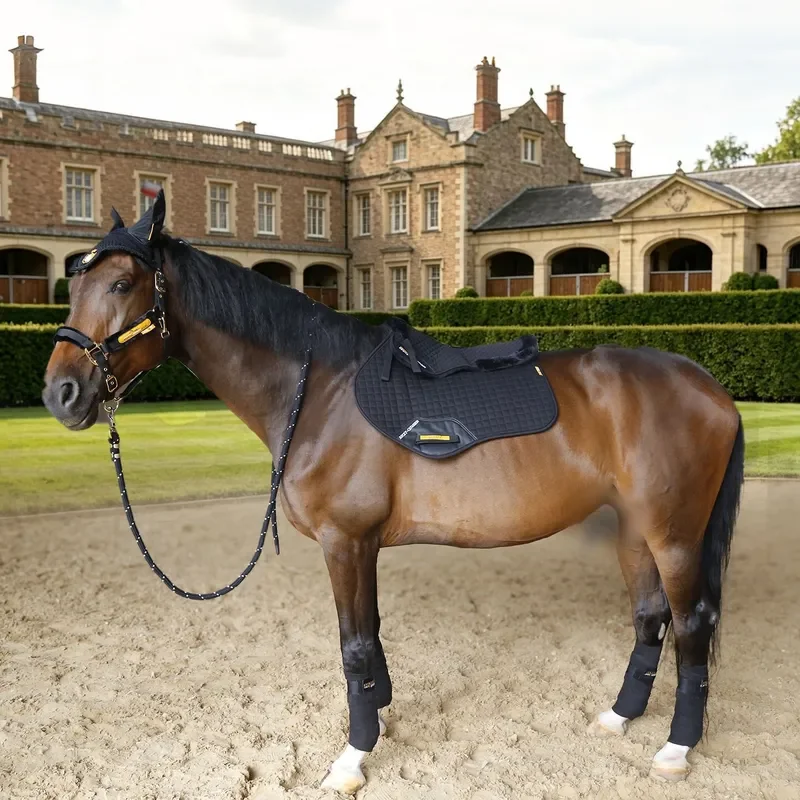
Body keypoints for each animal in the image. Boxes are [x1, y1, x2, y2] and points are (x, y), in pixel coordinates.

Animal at [42, 195, 744, 794]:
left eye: (121, 284)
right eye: (74, 284)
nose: (61, 394)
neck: (319, 392)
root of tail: (707, 386)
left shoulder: (345, 541)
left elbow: (353, 645)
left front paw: (352, 756)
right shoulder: (363, 547)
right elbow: (371, 635)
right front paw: (378, 718)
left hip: (674, 535)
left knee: (690, 624)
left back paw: (676, 748)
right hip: (634, 530)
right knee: (650, 617)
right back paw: (620, 716)